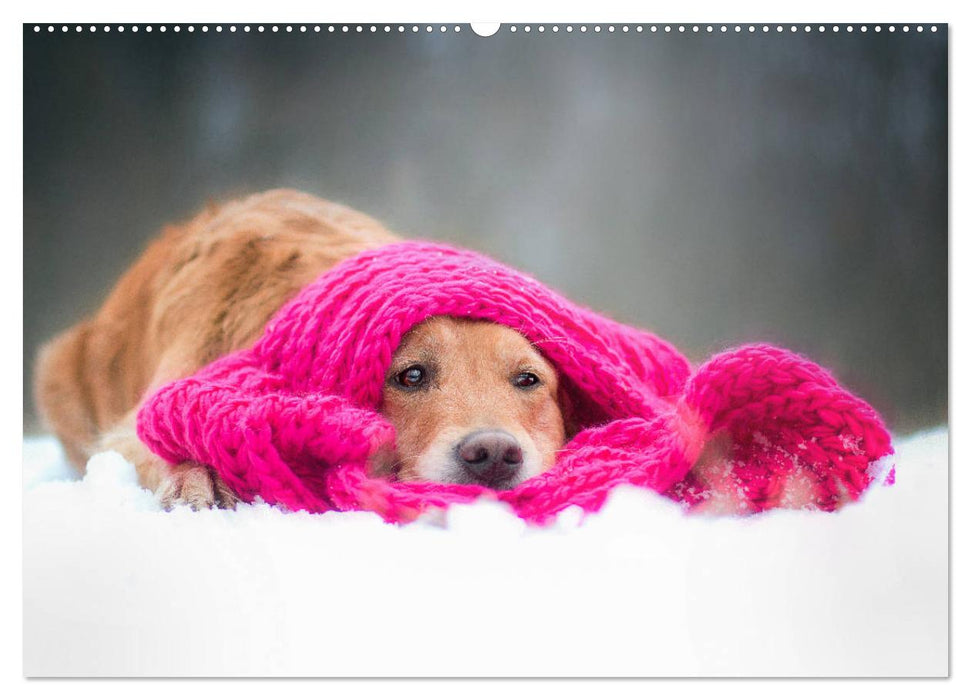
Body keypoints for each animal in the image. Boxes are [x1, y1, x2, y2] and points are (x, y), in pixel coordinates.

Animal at [32, 191, 568, 508]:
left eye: (528, 379)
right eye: (411, 375)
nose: (493, 453)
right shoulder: (143, 413)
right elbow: (158, 438)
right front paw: (198, 478)